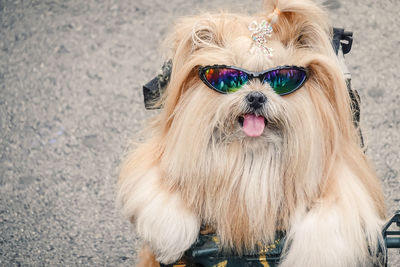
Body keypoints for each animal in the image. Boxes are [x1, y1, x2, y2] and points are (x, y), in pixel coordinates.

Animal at [117, 0, 386, 266]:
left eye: (281, 80)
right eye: (229, 78)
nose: (256, 97)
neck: (251, 153)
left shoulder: (346, 180)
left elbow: (327, 224)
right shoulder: (158, 159)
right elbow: (162, 192)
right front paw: (170, 238)